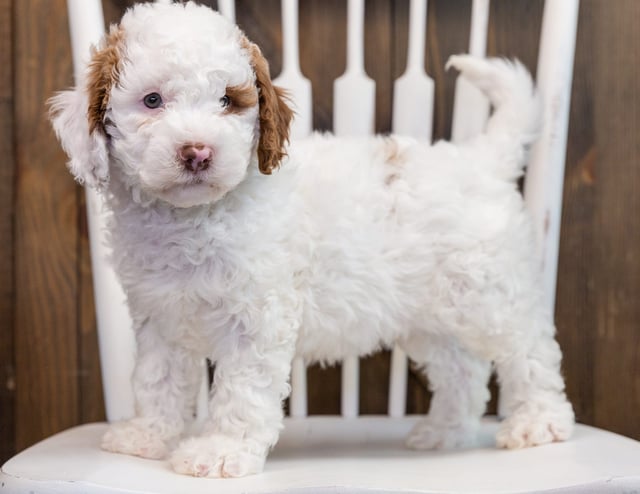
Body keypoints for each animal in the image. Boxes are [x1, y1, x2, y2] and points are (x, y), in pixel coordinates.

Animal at [47, 0, 572, 478]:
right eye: (152, 101)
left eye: (228, 100)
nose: (197, 152)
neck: (192, 219)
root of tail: (480, 160)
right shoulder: (158, 317)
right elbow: (156, 380)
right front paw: (147, 436)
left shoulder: (257, 317)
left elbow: (241, 391)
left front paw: (220, 452)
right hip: (427, 317)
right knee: (464, 371)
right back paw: (447, 433)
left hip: (488, 296)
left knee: (529, 351)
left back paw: (539, 423)